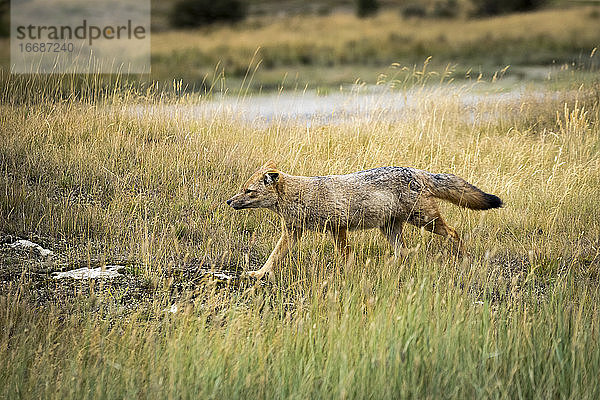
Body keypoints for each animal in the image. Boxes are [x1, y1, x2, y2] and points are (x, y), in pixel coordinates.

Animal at [225, 160, 502, 282]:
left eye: (248, 192)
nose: (228, 201)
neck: (301, 195)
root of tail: (415, 170)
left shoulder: (337, 228)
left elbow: (345, 256)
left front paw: (348, 274)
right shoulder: (292, 233)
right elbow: (273, 257)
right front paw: (258, 273)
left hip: (425, 221)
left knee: (454, 233)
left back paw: (466, 259)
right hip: (390, 229)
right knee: (403, 253)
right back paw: (390, 269)